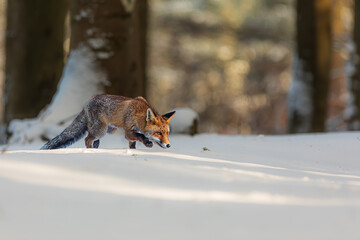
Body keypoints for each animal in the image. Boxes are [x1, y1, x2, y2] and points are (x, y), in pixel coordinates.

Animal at [40, 94, 176, 149]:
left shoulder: (131, 137)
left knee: (93, 140)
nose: (168, 145)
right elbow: (141, 136)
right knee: (87, 139)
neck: (138, 114)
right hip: (100, 130)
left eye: (167, 133)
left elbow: (133, 144)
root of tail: (88, 101)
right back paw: (90, 151)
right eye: (158, 133)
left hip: (105, 131)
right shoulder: (128, 132)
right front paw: (147, 142)